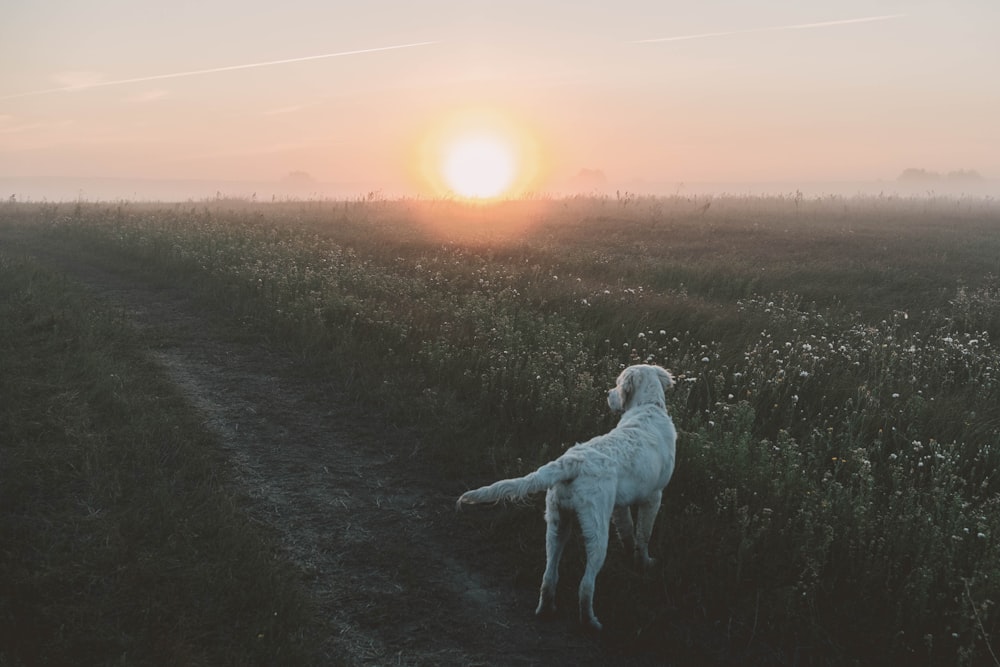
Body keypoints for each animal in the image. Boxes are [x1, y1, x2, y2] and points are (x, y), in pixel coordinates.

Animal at [458, 366, 676, 632]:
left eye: (616, 384)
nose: (608, 393)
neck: (648, 406)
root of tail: (570, 461)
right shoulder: (654, 497)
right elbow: (643, 536)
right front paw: (645, 563)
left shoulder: (620, 506)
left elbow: (628, 532)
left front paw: (630, 557)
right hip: (596, 532)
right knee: (586, 585)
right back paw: (591, 622)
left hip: (556, 523)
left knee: (548, 575)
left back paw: (546, 609)